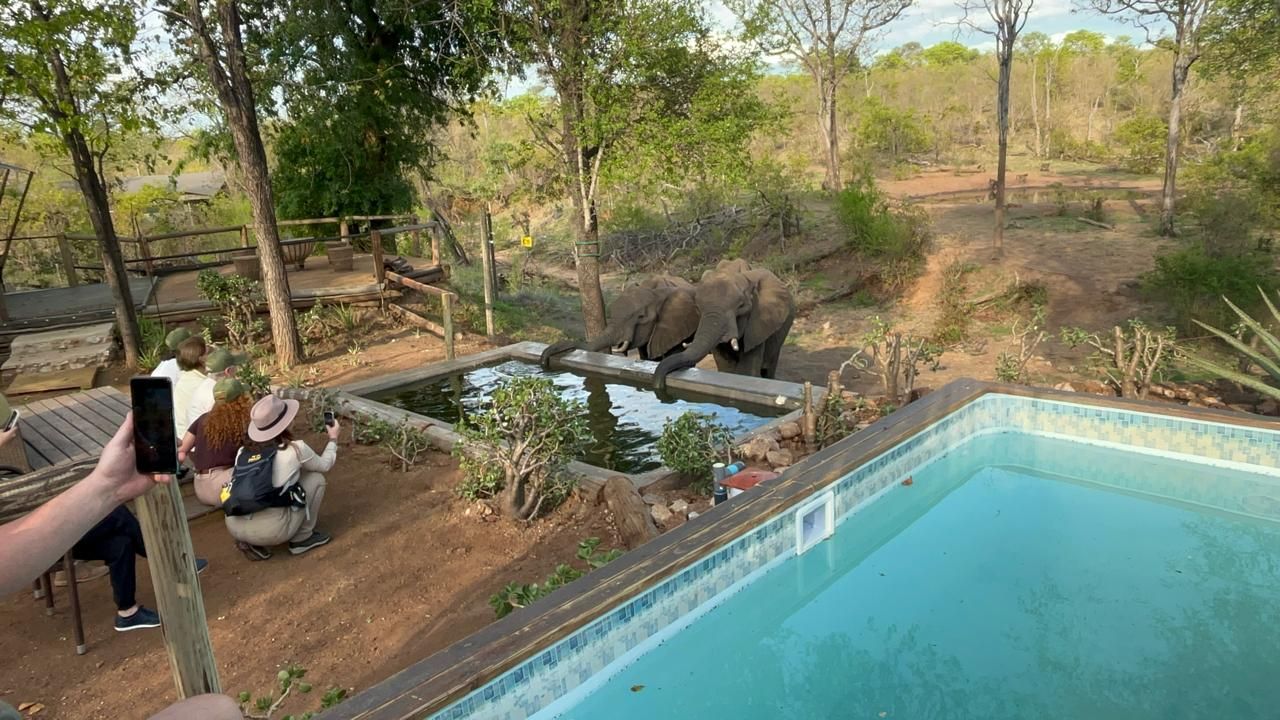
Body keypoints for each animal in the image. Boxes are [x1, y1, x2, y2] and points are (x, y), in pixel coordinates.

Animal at [652, 259, 794, 390]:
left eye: (741, 306)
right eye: (697, 308)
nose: (659, 386)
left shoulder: (758, 323)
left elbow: (746, 371)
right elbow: (726, 368)